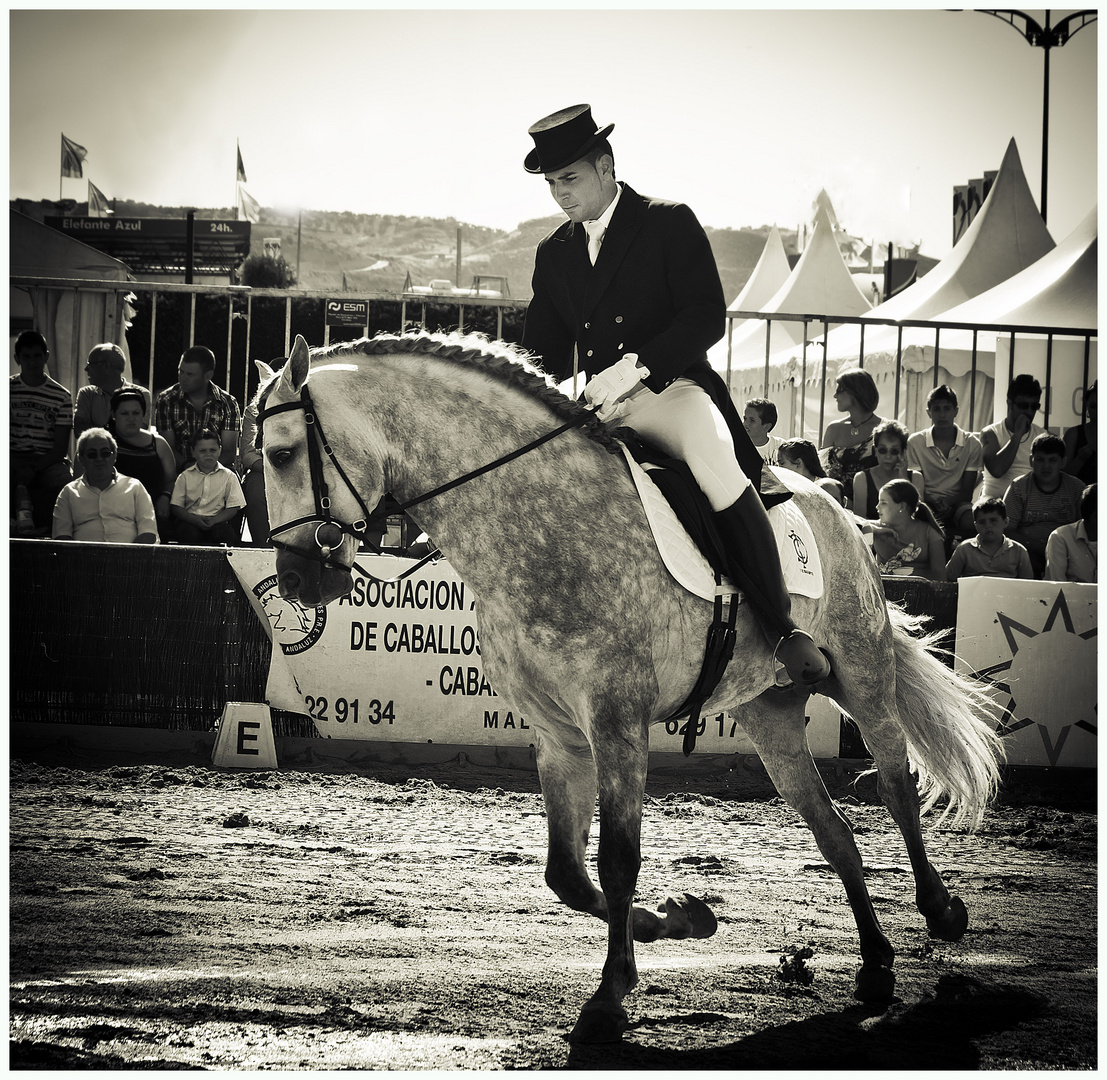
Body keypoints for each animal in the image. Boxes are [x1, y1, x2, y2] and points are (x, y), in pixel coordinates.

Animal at [256, 331, 1005, 1044]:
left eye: (282, 453)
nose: (296, 582)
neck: (534, 523)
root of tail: (830, 503)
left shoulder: (615, 721)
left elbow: (617, 858)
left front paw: (609, 998)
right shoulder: (560, 734)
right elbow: (566, 872)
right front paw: (679, 920)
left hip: (861, 671)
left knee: (894, 786)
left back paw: (941, 913)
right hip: (769, 711)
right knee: (832, 830)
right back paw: (874, 964)